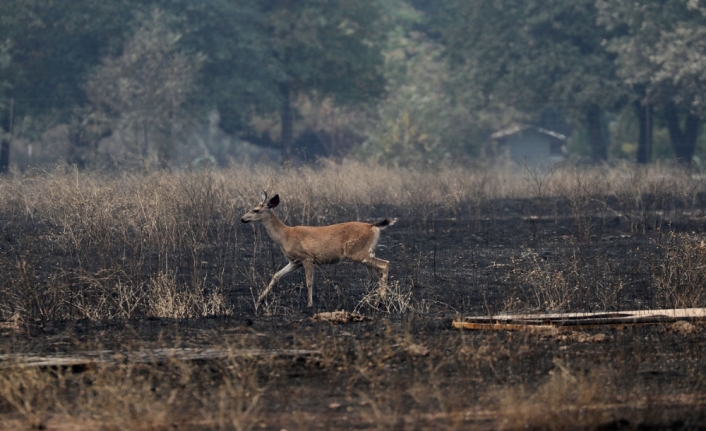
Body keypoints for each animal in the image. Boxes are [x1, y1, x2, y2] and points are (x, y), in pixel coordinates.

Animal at [241, 192, 396, 310]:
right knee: (379, 271)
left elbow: (309, 281)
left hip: (358, 253)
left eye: (255, 210)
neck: (285, 236)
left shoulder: (307, 257)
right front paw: (259, 300)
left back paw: (382, 301)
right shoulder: (294, 261)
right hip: (365, 253)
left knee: (385, 264)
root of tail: (372, 226)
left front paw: (309, 304)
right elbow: (276, 275)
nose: (242, 219)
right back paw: (378, 301)